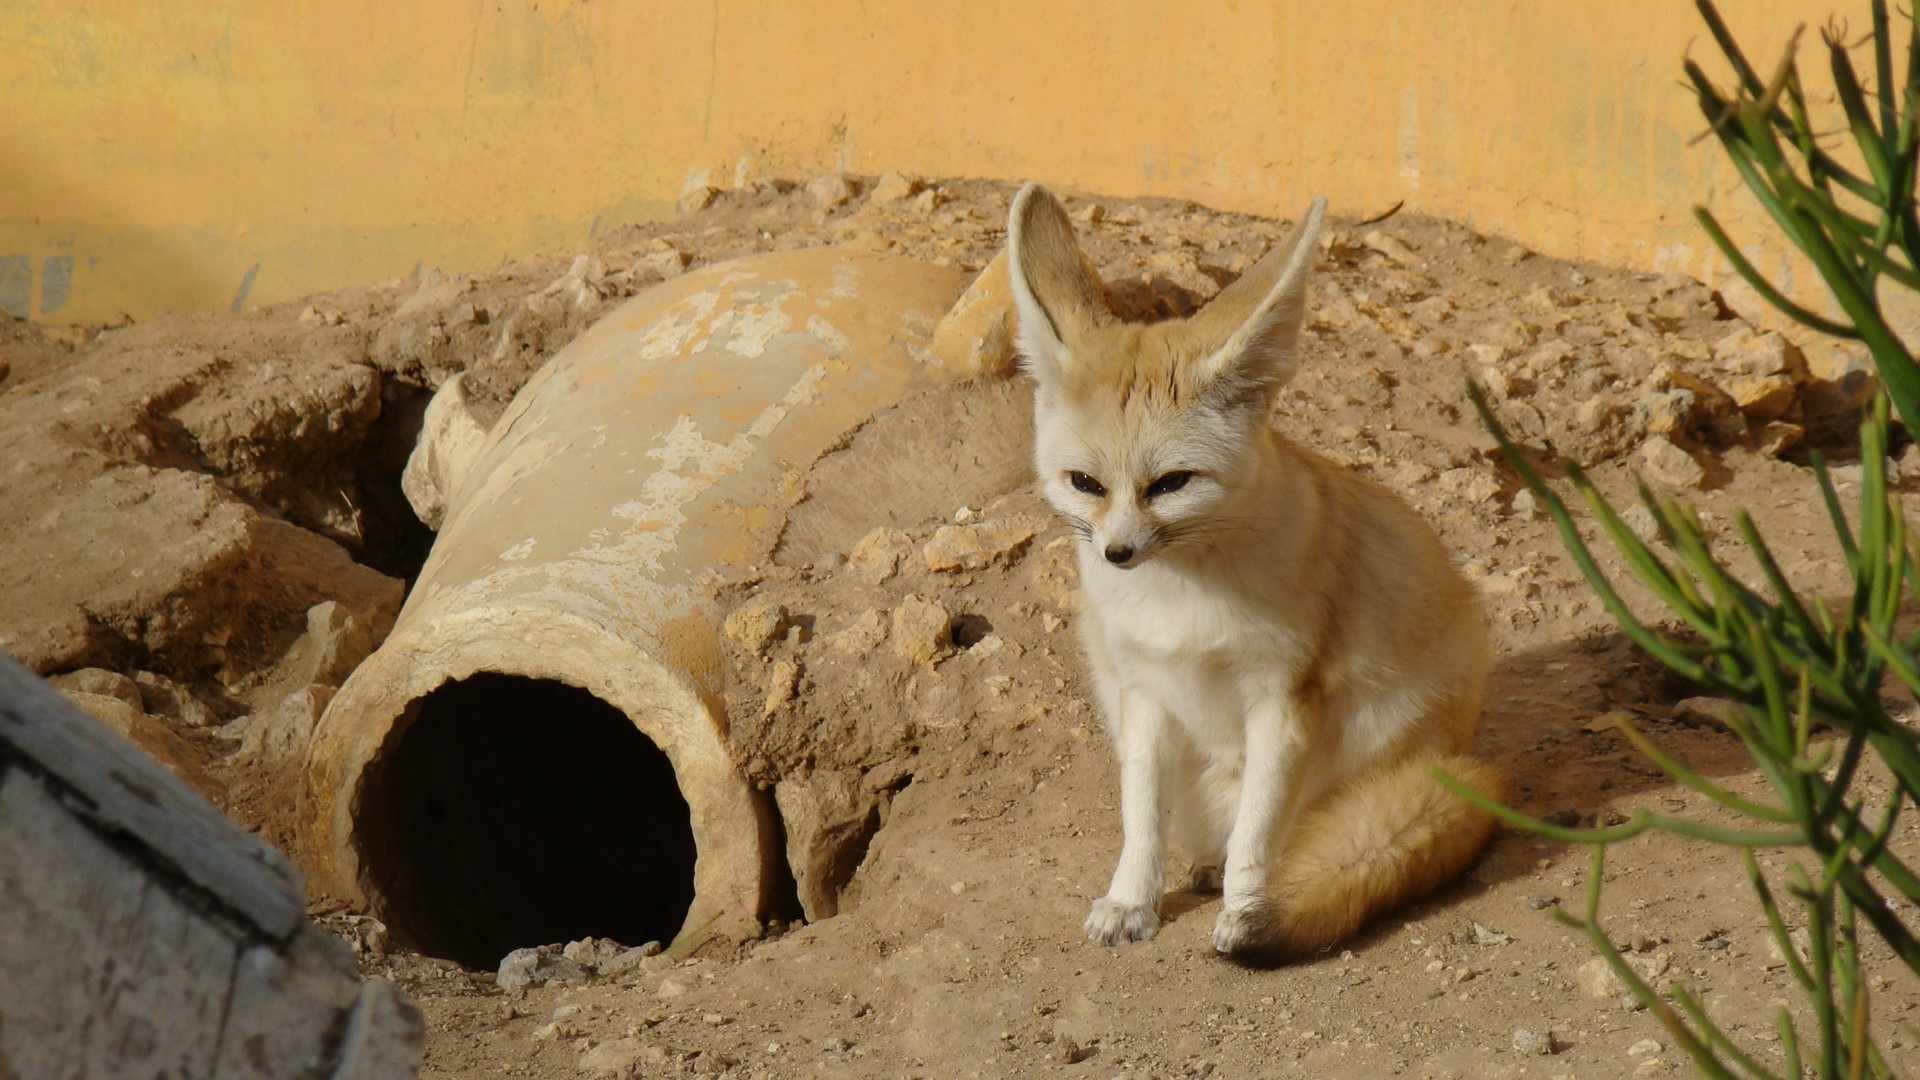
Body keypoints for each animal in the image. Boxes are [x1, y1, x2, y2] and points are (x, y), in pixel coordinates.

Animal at [1005, 183, 1503, 963]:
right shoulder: (1145, 694)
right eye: (1085, 483)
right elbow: (1141, 817)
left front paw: (1248, 909)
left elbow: (1258, 834)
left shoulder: (1283, 701)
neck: (1180, 594)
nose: (1117, 552)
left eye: (1171, 484)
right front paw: (1132, 901)